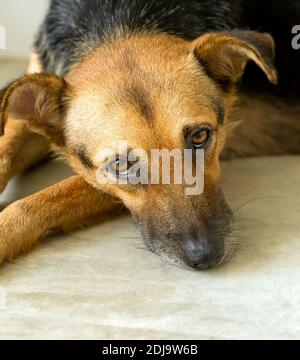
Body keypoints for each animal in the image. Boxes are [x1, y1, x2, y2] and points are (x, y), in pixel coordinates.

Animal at [0, 0, 298, 270]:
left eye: (200, 137)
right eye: (122, 164)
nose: (206, 256)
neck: (119, 24)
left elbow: (42, 199)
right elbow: (5, 151)